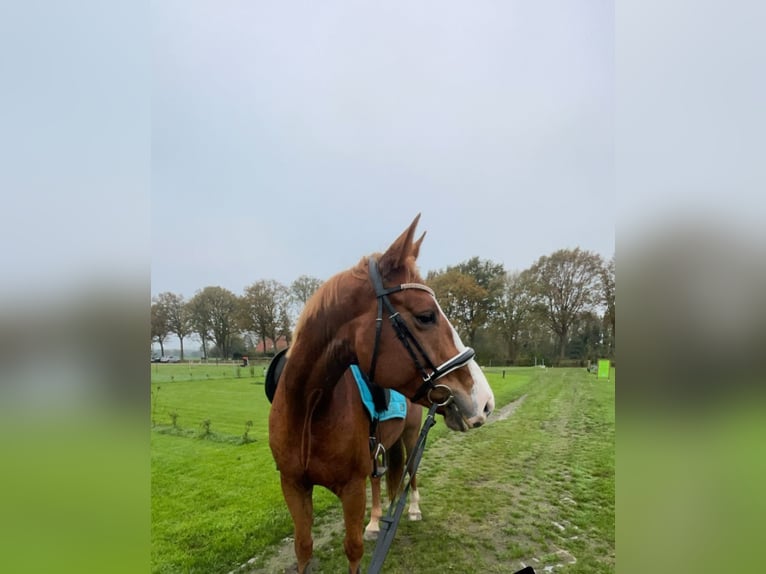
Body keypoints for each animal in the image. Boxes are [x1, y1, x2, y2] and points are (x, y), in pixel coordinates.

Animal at [270, 216, 498, 574]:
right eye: (426, 316)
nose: (485, 402)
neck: (308, 409)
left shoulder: (350, 489)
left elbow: (353, 549)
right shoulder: (293, 486)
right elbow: (303, 548)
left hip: (410, 436)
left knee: (412, 471)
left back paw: (413, 509)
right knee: (378, 483)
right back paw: (377, 521)